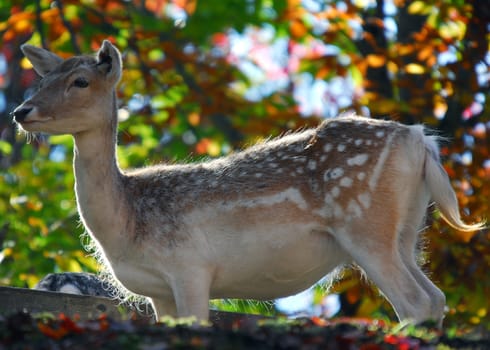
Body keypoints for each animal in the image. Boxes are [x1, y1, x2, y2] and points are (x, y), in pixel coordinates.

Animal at [11, 40, 482, 326]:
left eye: (80, 81)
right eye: (42, 79)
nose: (20, 111)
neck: (126, 223)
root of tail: (421, 140)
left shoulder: (189, 267)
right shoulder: (158, 292)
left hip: (365, 224)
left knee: (415, 303)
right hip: (406, 231)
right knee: (434, 298)